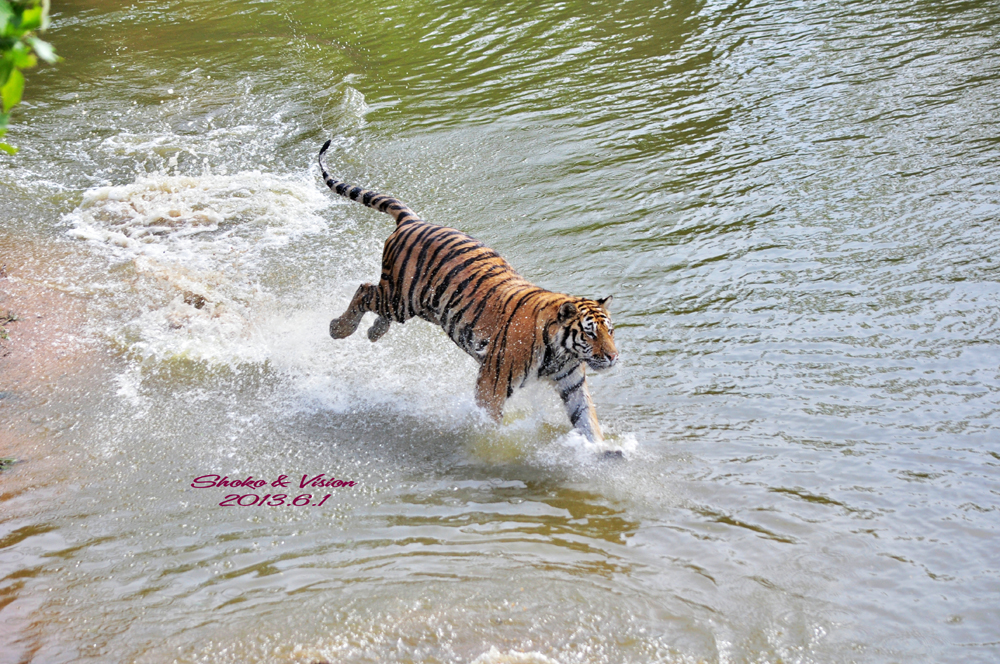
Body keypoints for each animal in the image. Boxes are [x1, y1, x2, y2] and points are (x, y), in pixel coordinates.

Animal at [320, 139, 616, 444]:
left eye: (610, 331)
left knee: (379, 307)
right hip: (399, 299)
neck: (559, 352)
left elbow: (587, 421)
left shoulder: (572, 384)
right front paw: (491, 444)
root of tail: (412, 220)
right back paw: (339, 328)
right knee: (364, 290)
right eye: (590, 333)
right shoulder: (491, 384)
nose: (613, 357)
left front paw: (604, 450)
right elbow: (489, 424)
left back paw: (374, 332)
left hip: (418, 305)